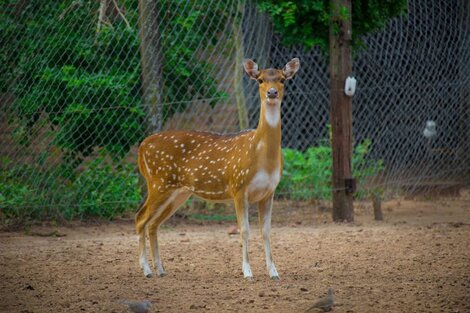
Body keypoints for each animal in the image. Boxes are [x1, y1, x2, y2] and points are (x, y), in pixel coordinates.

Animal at [135, 57, 302, 280]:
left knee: (153, 223)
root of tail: (141, 147)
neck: (262, 157)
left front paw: (274, 272)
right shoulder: (238, 186)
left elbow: (266, 231)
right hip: (158, 183)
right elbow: (244, 230)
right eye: (259, 80)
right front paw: (247, 272)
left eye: (282, 79)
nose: (272, 92)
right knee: (140, 218)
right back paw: (146, 270)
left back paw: (160, 270)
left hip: (178, 192)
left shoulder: (269, 191)